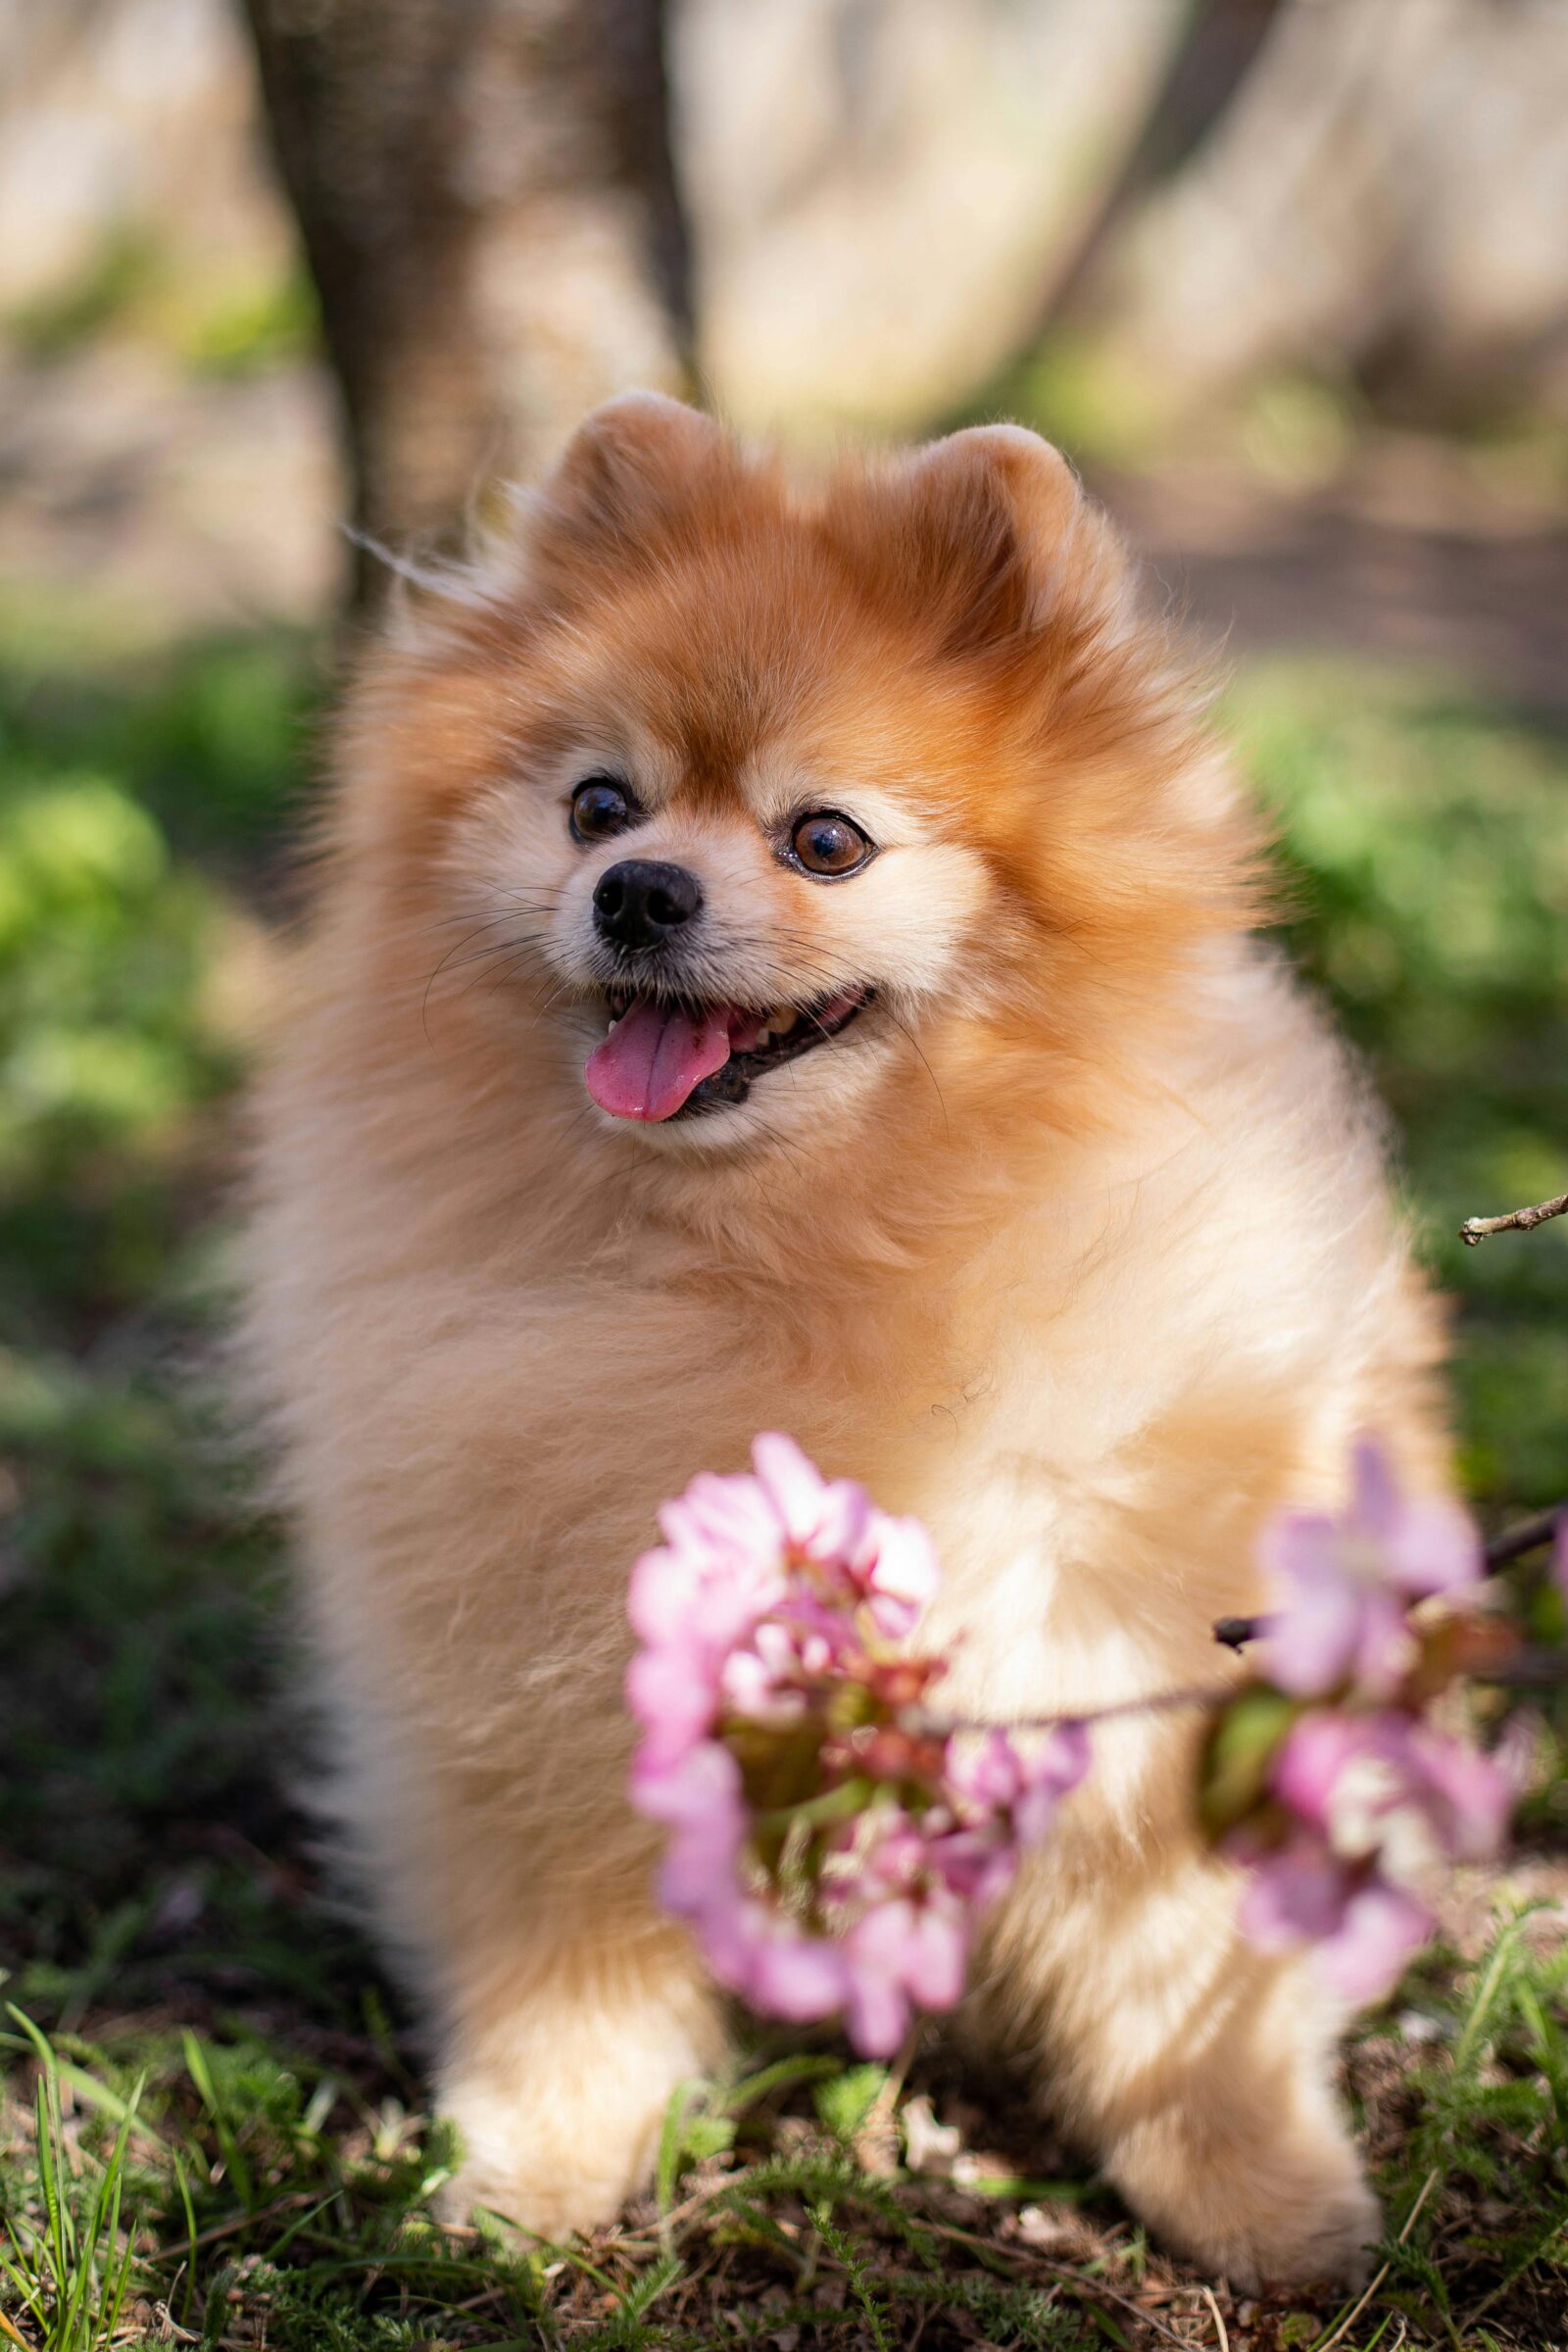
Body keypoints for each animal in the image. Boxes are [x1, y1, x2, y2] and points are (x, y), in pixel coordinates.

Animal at [245, 395, 1447, 2285]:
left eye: (826, 840)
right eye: (598, 805)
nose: (637, 891)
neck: (783, 1268)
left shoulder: (1144, 1661)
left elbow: (1189, 1991)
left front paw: (1267, 2201)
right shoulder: (532, 1704)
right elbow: (559, 1993)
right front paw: (534, 2179)